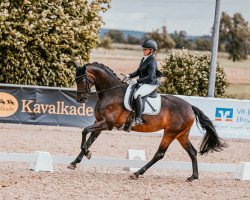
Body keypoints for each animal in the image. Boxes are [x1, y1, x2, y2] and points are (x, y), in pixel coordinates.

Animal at [68, 61, 227, 182]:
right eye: (76, 79)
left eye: (82, 80)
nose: (80, 99)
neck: (111, 93)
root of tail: (190, 106)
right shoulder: (100, 123)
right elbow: (89, 140)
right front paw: (75, 162)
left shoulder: (107, 124)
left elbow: (84, 131)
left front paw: (87, 154)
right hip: (181, 135)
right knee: (192, 152)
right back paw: (193, 176)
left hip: (170, 133)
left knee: (160, 154)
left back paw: (137, 173)